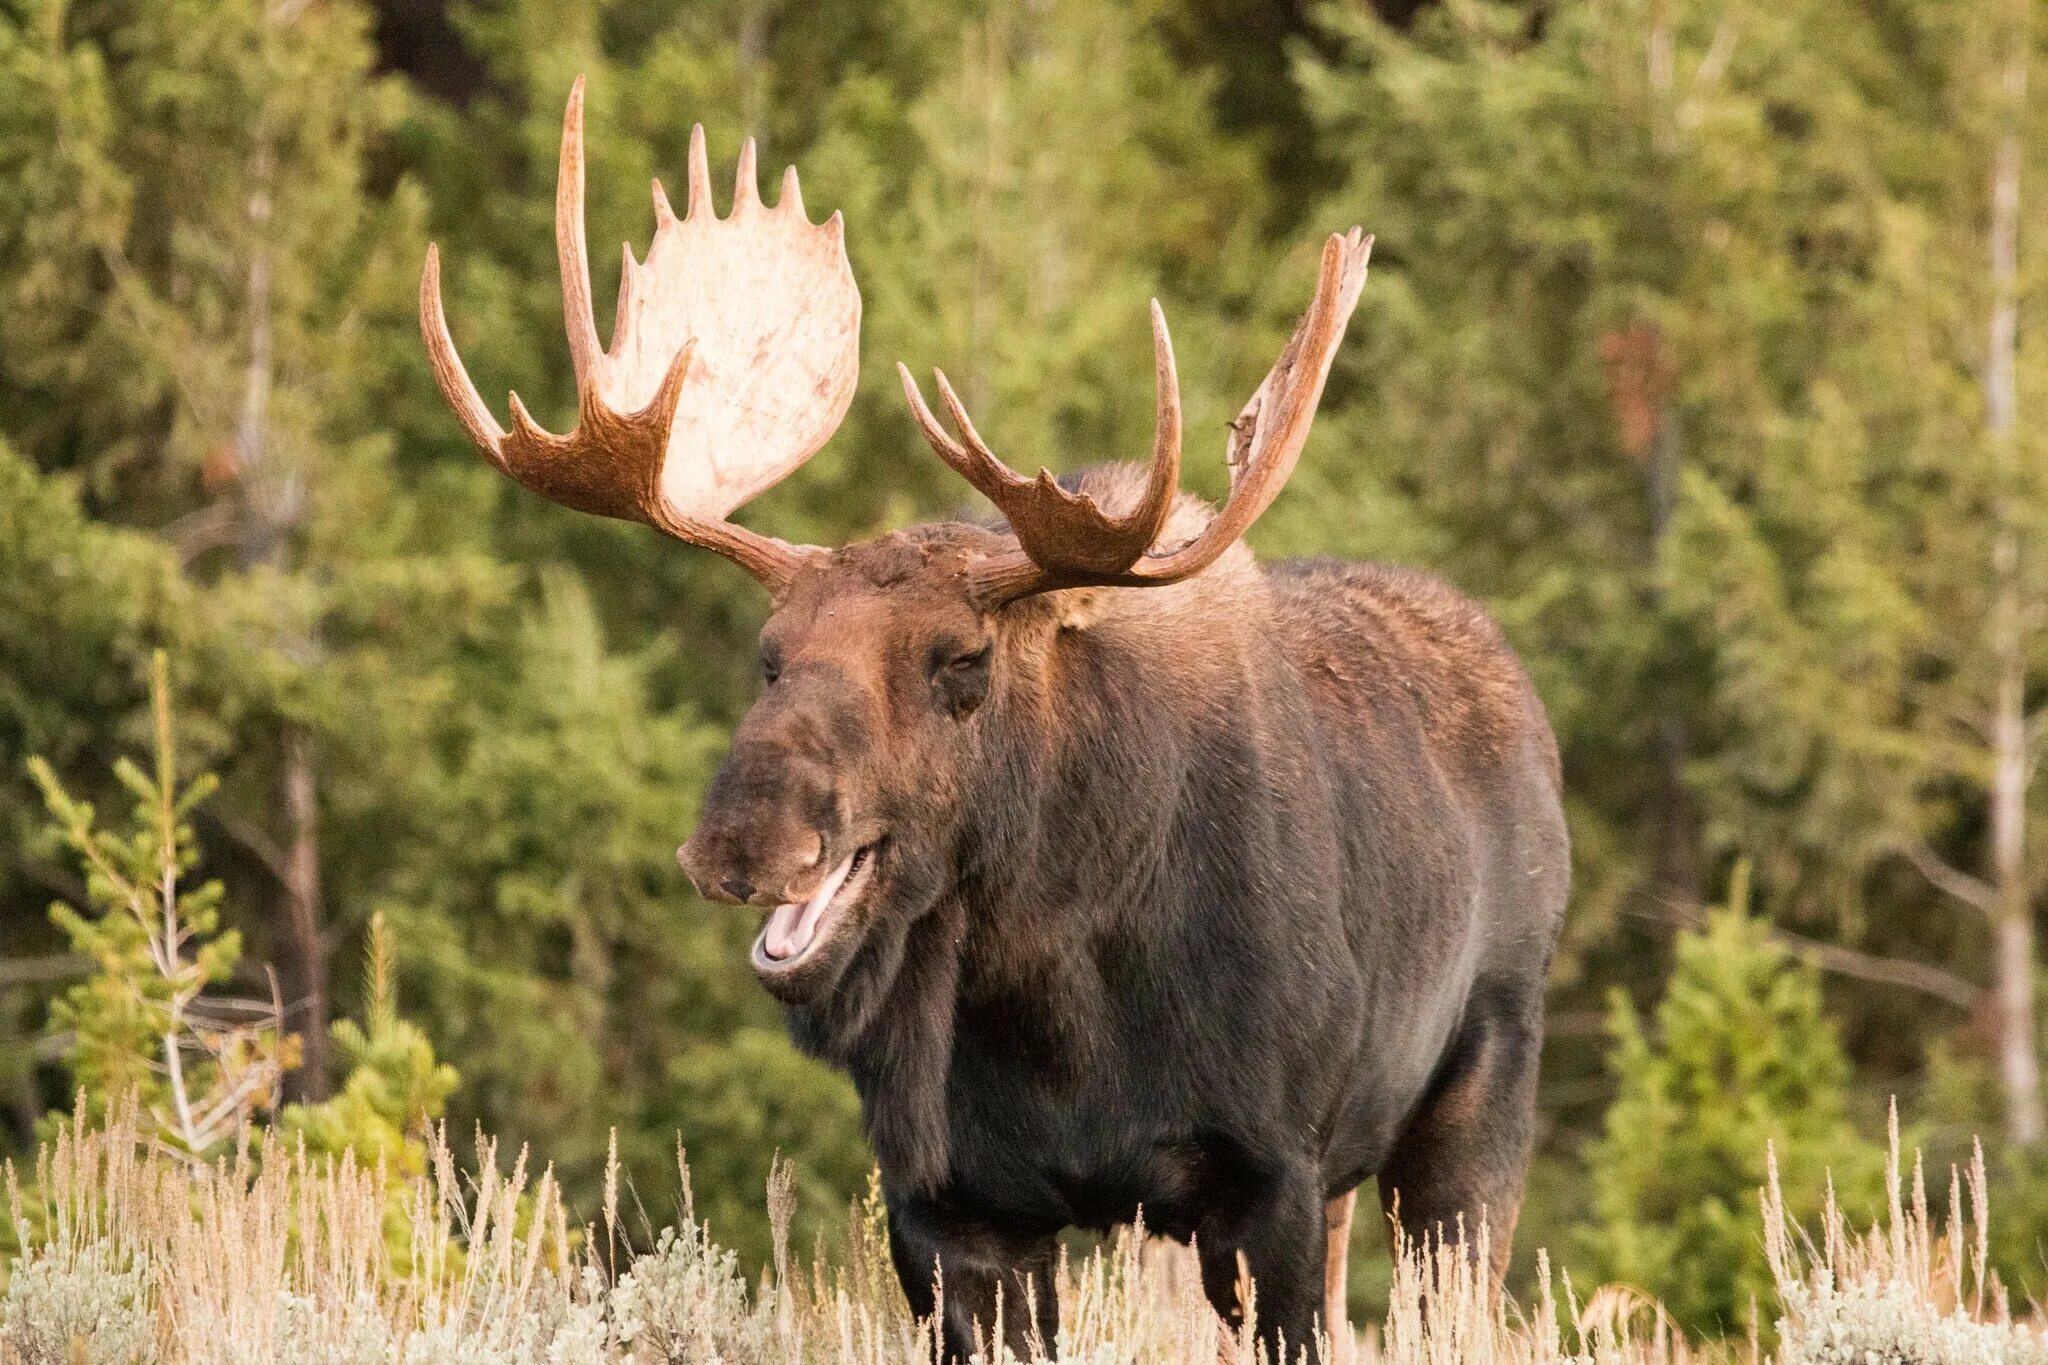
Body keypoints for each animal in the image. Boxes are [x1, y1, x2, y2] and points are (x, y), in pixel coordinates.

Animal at [419, 80, 1564, 1358]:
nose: (740, 838)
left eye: (960, 659)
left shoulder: (1268, 1173)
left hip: (1478, 1086)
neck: (1054, 1007)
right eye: (770, 655)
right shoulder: (951, 1205)